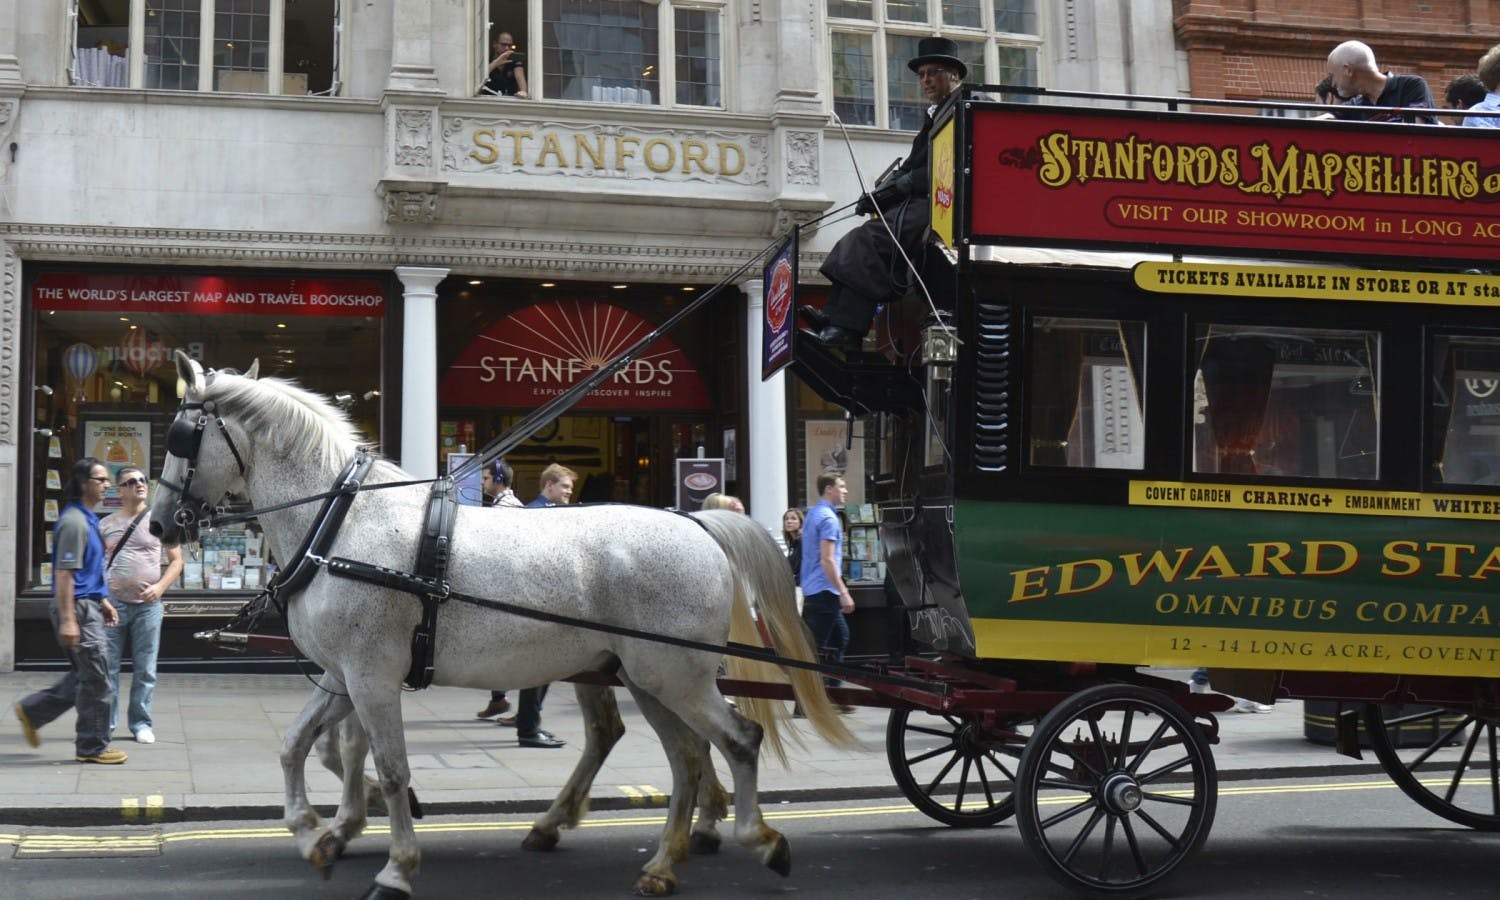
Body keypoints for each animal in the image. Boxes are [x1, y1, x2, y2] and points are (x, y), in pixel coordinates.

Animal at [152, 354, 858, 900]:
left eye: (182, 435)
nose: (158, 524)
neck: (341, 524)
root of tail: (699, 523)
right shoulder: (341, 673)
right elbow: (299, 744)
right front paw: (313, 831)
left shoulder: (371, 674)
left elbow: (390, 764)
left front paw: (395, 867)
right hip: (644, 674)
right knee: (683, 755)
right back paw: (658, 860)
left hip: (673, 673)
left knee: (735, 739)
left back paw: (756, 839)